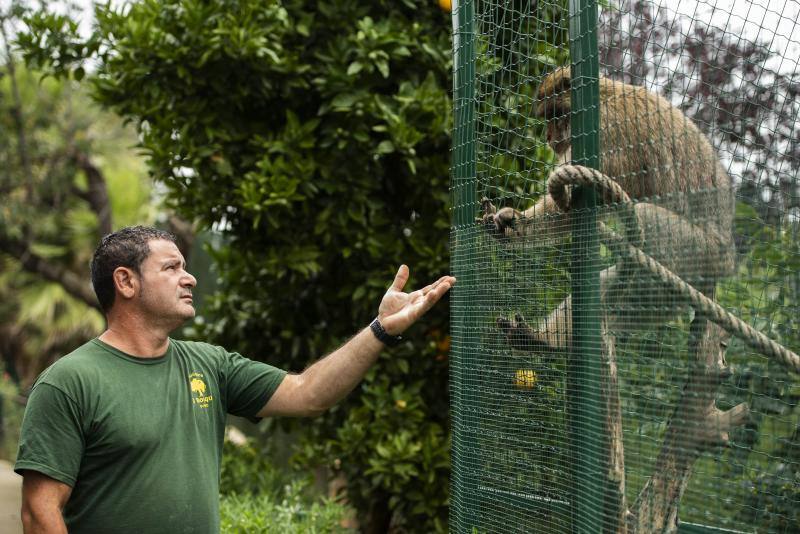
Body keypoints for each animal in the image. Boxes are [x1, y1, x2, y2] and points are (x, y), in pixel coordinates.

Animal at [482, 68, 736, 352]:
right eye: (547, 118)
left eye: (555, 115)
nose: (548, 138)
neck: (603, 98)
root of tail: (727, 260)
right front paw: (510, 225)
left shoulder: (607, 130)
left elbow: (571, 211)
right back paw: (547, 341)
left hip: (700, 253)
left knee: (647, 219)